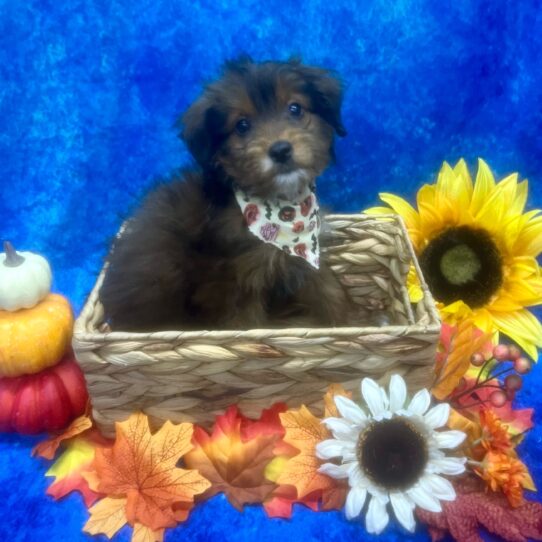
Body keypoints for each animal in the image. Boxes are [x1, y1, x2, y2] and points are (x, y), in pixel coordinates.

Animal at [99, 58, 350, 332]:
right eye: (242, 125)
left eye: (295, 109)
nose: (281, 150)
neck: (282, 208)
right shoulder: (234, 285)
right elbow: (248, 324)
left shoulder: (307, 257)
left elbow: (329, 290)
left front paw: (348, 321)